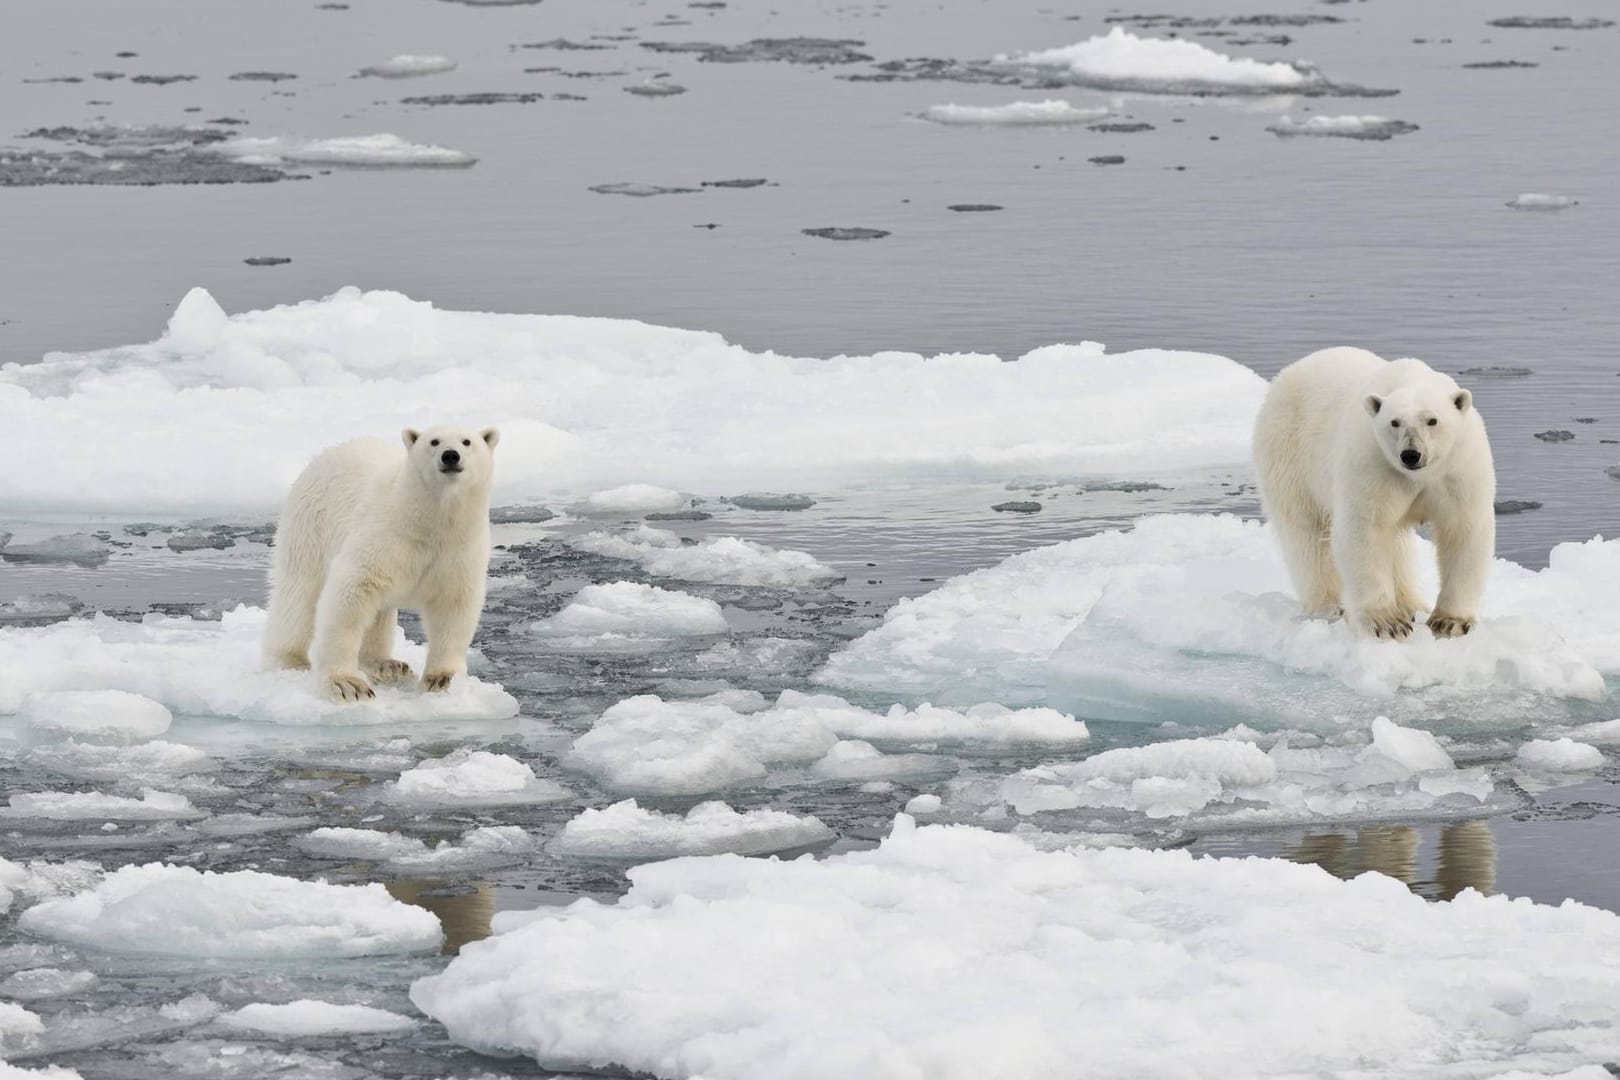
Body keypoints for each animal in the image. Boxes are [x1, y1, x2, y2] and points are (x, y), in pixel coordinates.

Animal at [264, 427, 498, 705]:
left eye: (467, 441)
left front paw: (441, 680)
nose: (450, 456)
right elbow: (350, 591)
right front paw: (346, 684)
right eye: (434, 441)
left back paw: (387, 665)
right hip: (310, 526)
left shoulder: (458, 549)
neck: (429, 522)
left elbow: (454, 605)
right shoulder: (384, 535)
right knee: (298, 595)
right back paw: (289, 660)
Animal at [1250, 346, 1490, 637]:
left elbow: (1463, 529)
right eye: (1394, 422)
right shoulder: (1373, 463)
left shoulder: (1459, 469)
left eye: (1432, 420)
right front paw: (1387, 623)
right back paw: (1331, 605)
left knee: (1397, 545)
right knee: (1305, 532)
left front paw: (1450, 622)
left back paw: (1412, 604)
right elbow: (1366, 529)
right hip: (1288, 453)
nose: (1411, 454)